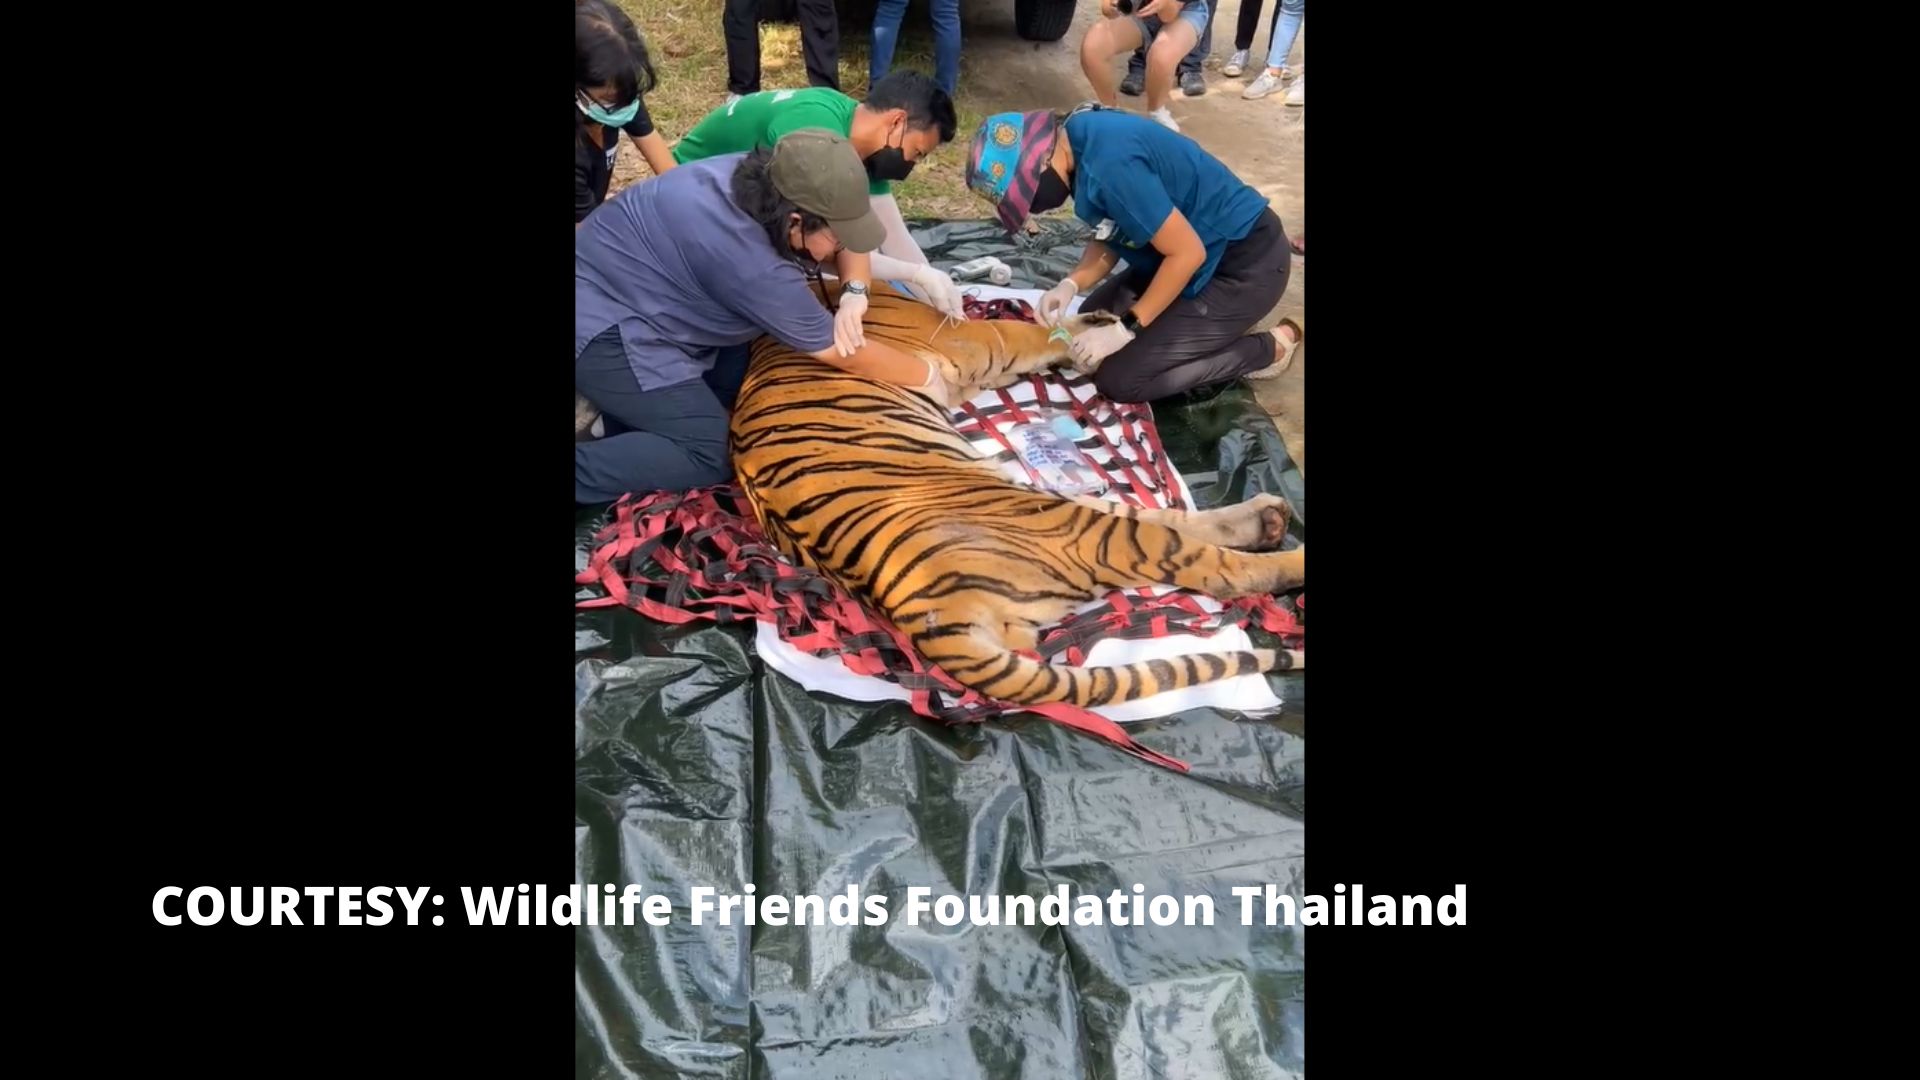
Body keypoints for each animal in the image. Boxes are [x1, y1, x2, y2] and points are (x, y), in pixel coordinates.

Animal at [729, 274, 1305, 707]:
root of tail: (919, 617)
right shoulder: (979, 340)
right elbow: (1034, 332)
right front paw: (1090, 335)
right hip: (1082, 528)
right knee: (1222, 569)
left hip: (1055, 502)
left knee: (1170, 518)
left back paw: (1269, 518)